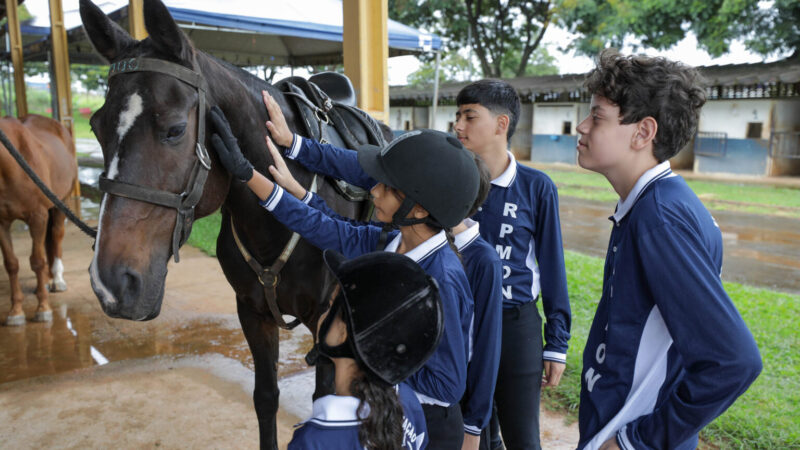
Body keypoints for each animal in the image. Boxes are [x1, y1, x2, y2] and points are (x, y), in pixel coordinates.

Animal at [0, 115, 77, 326]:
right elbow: (11, 264)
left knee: (56, 236)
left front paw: (43, 309)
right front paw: (16, 312)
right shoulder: (2, 222)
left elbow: (36, 261)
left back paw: (57, 280)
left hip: (61, 203)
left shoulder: (38, 216)